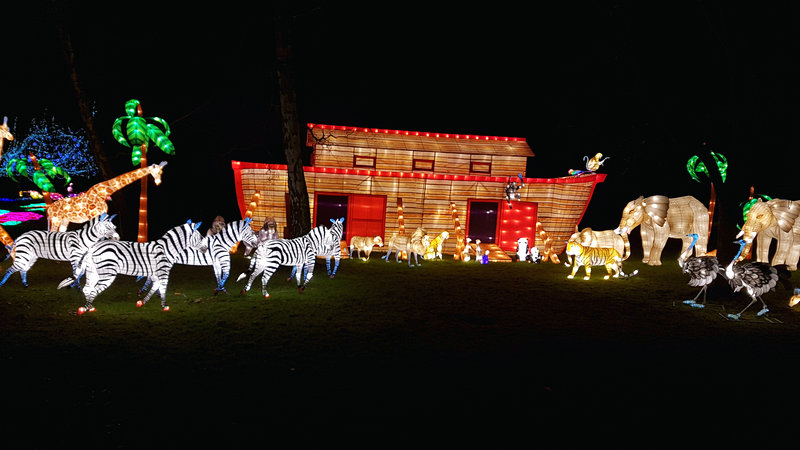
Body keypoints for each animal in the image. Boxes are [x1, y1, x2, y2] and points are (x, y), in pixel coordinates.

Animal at [71, 221, 203, 312]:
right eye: (201, 237)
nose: (205, 248)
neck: (167, 248)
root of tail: (92, 248)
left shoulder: (155, 274)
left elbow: (155, 287)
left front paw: (142, 302)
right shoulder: (163, 272)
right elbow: (162, 288)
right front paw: (164, 306)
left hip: (93, 272)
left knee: (87, 288)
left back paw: (90, 307)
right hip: (107, 272)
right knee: (93, 289)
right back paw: (86, 309)